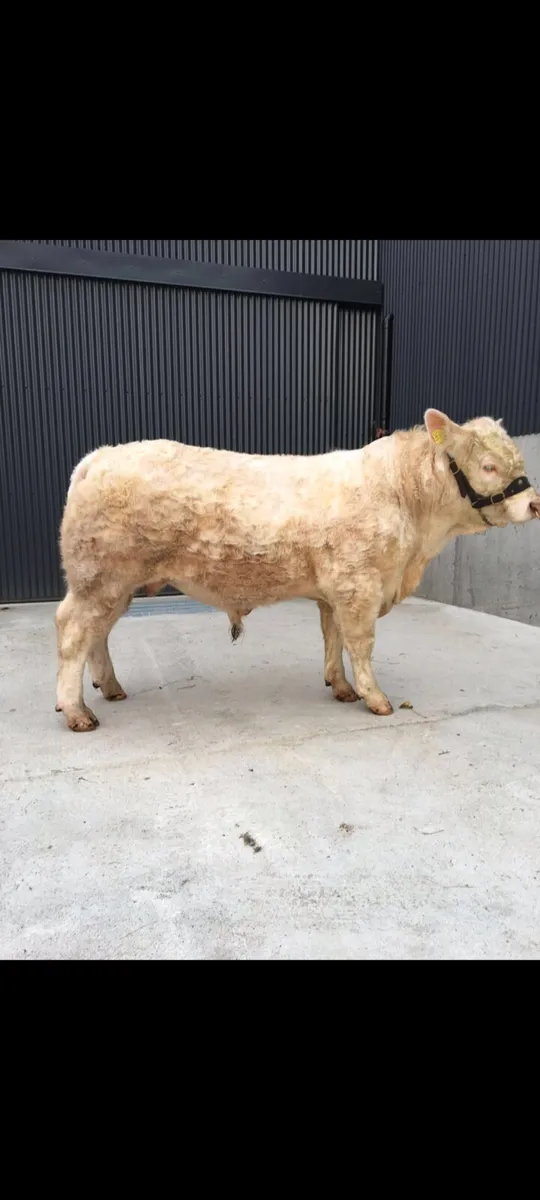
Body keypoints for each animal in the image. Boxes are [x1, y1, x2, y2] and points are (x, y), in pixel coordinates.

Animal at [55, 409, 540, 731]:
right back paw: (77, 711)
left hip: (113, 585)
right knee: (74, 632)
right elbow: (361, 643)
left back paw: (109, 687)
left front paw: (340, 686)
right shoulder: (359, 584)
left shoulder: (336, 591)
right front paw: (375, 697)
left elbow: (334, 637)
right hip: (100, 577)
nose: (535, 503)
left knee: (97, 634)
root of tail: (96, 457)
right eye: (489, 465)